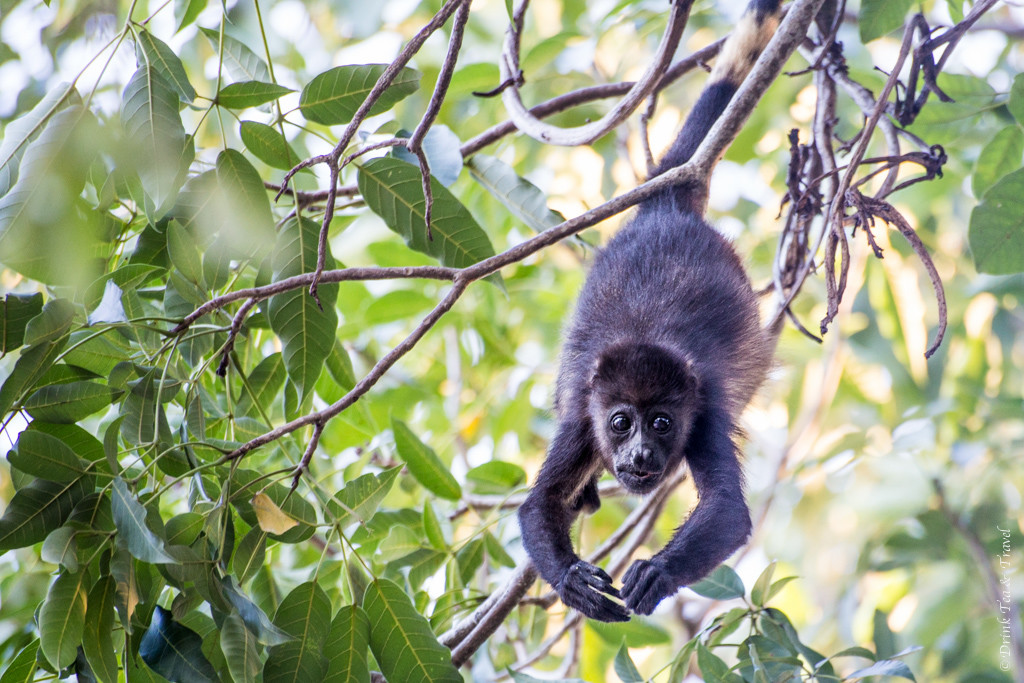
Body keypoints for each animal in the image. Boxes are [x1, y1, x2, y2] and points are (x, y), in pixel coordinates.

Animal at [520, 0, 782, 622]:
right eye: (621, 422)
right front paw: (571, 581)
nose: (639, 451)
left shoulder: (703, 407)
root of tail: (664, 205)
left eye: (661, 422)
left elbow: (728, 508)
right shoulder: (583, 418)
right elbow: (538, 503)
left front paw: (658, 572)